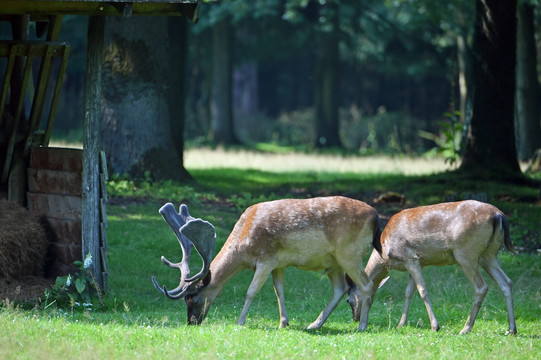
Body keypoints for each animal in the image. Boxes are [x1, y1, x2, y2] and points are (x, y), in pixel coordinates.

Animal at [150, 195, 382, 330]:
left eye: (192, 297)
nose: (191, 321)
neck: (244, 241)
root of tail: (375, 216)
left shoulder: (265, 259)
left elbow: (251, 291)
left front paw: (240, 322)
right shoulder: (278, 263)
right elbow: (279, 291)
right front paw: (283, 323)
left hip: (349, 254)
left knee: (366, 285)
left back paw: (361, 326)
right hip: (333, 261)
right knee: (341, 288)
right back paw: (314, 324)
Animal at [346, 200, 516, 334]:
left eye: (349, 300)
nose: (355, 318)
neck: (384, 251)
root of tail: (498, 215)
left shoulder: (410, 257)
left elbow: (423, 291)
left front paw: (435, 326)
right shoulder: (416, 263)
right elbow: (408, 292)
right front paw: (401, 324)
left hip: (466, 253)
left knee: (481, 287)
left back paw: (466, 328)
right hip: (489, 255)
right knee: (506, 282)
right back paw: (511, 329)